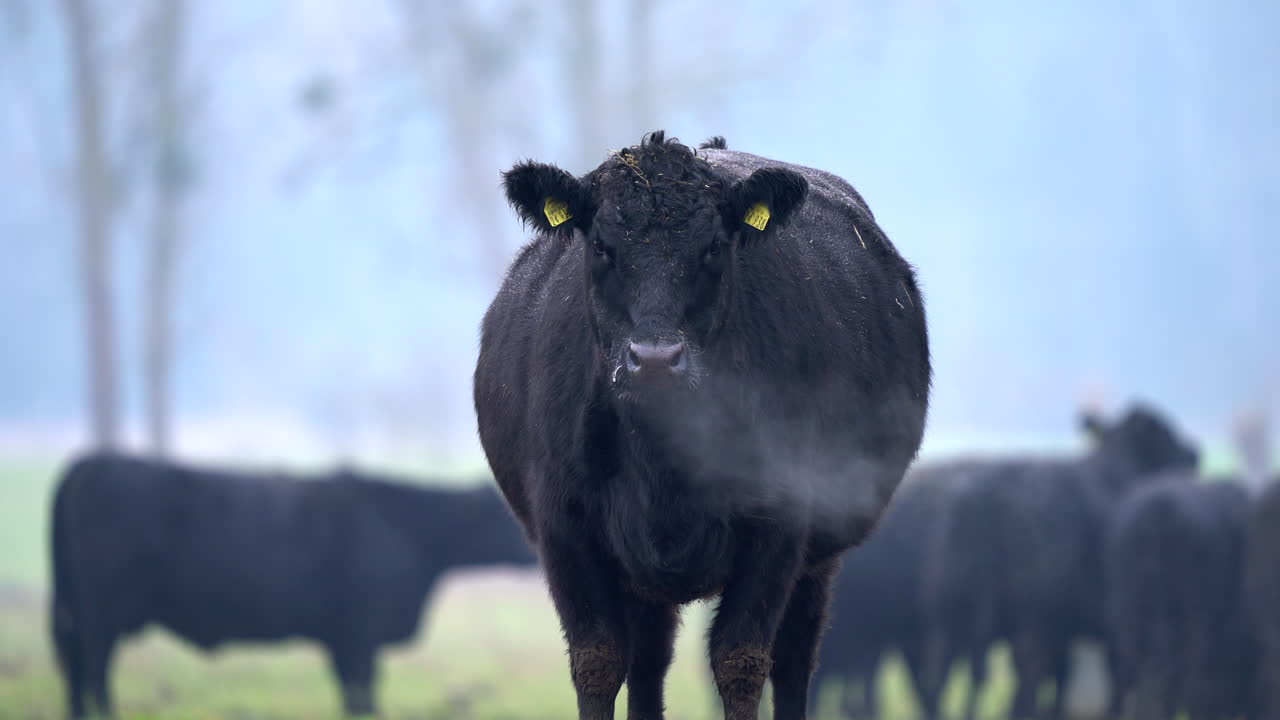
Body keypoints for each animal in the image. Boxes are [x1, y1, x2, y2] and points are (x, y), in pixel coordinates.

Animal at [49, 452, 536, 718]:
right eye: (507, 511)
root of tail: (93, 462)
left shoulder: (345, 639)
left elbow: (352, 693)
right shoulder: (360, 634)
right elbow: (363, 692)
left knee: (75, 667)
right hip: (103, 613)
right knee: (94, 667)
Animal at [474, 131, 931, 720]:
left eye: (713, 247)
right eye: (600, 246)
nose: (654, 359)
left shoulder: (779, 523)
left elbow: (740, 660)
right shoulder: (564, 528)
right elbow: (598, 661)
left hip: (820, 552)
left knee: (794, 659)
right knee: (648, 662)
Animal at [923, 404, 1199, 720]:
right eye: (1165, 431)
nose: (1194, 453)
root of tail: (983, 495)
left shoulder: (1066, 630)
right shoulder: (1108, 626)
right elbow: (1115, 683)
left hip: (947, 613)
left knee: (939, 677)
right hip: (1032, 623)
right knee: (1026, 684)